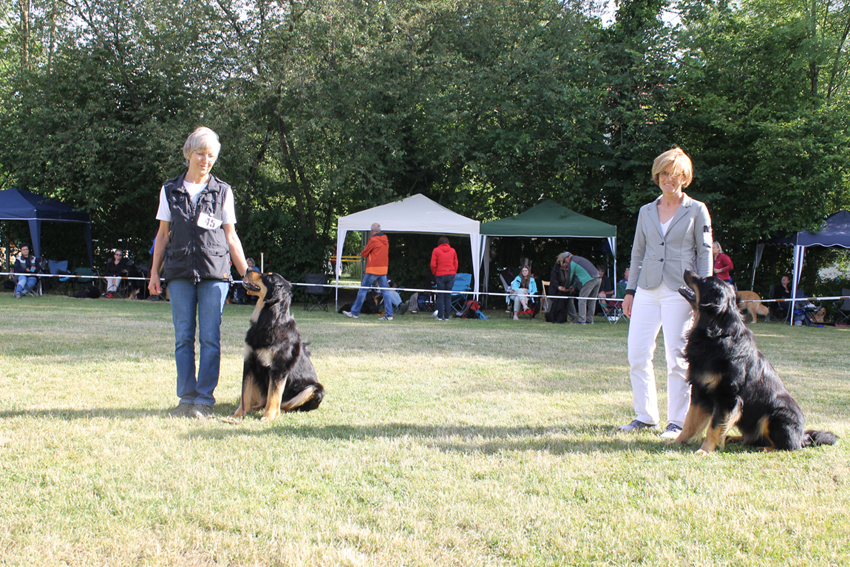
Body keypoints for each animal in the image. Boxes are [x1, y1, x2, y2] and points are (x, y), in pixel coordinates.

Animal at [234, 270, 322, 422]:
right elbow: (245, 394)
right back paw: (257, 408)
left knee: (288, 405)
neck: (268, 323)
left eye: (268, 277)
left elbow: (274, 396)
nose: (247, 270)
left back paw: (278, 412)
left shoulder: (279, 368)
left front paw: (268, 417)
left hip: (314, 389)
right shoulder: (250, 363)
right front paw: (238, 415)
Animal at [676, 272, 836, 458]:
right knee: (753, 438)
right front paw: (676, 441)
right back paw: (734, 438)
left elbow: (714, 426)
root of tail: (803, 435)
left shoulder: (727, 396)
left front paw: (705, 450)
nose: (687, 270)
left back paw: (765, 448)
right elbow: (690, 421)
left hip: (776, 415)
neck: (716, 333)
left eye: (704, 280)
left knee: (789, 446)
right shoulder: (700, 390)